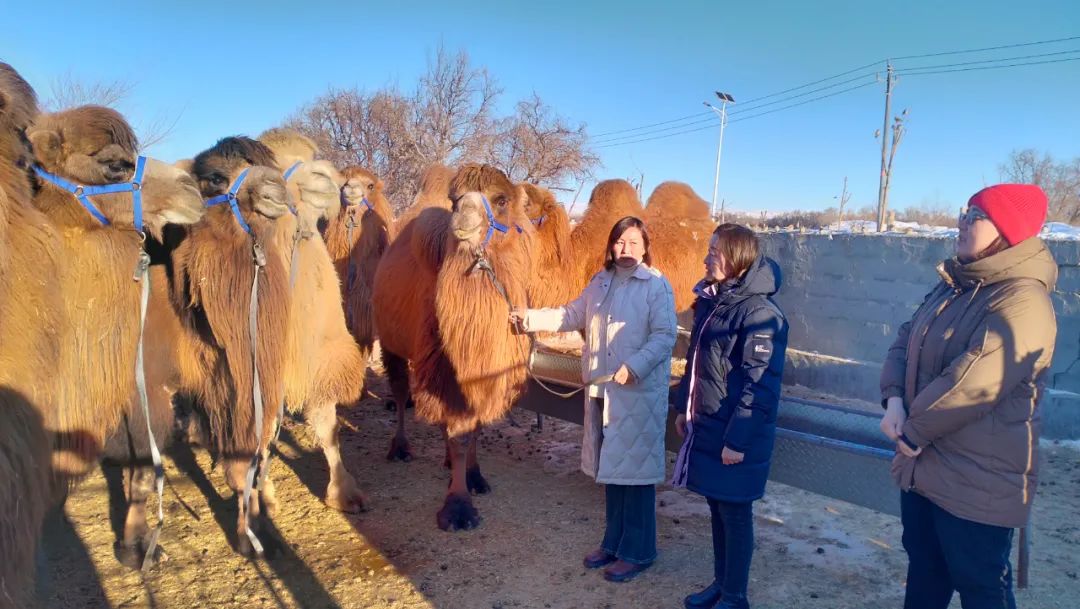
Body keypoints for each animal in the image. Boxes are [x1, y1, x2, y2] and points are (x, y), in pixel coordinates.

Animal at [166, 138, 291, 557]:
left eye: (273, 166)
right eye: (215, 178)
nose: (277, 192)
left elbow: (259, 449)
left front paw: (265, 507)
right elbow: (236, 465)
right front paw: (246, 533)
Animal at [375, 164, 535, 531]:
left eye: (501, 200)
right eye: (454, 199)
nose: (463, 217)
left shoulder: (482, 371)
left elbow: (472, 426)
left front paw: (474, 476)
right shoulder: (443, 363)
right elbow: (461, 432)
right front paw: (459, 508)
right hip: (391, 342)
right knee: (401, 391)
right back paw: (400, 448)